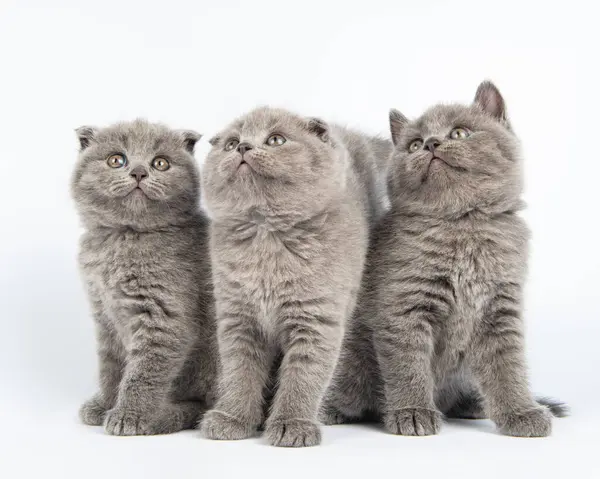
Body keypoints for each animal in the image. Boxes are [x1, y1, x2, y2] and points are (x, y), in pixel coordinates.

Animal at [72, 119, 218, 436]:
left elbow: (144, 373)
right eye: (116, 160)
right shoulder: (105, 315)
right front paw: (104, 404)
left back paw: (161, 417)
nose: (139, 172)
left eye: (160, 163)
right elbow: (111, 367)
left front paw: (129, 415)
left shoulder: (163, 317)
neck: (125, 237)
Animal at [199, 107, 392, 448]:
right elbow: (239, 372)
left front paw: (292, 424)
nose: (243, 147)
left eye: (276, 140)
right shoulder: (239, 318)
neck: (266, 236)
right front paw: (232, 418)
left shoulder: (316, 318)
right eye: (231, 143)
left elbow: (303, 375)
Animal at [324, 83, 568, 438]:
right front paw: (412, 412)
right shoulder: (405, 308)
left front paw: (520, 412)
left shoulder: (501, 308)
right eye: (414, 144)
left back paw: (473, 404)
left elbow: (508, 366)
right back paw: (329, 410)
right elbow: (408, 365)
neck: (463, 226)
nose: (430, 144)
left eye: (459, 132)